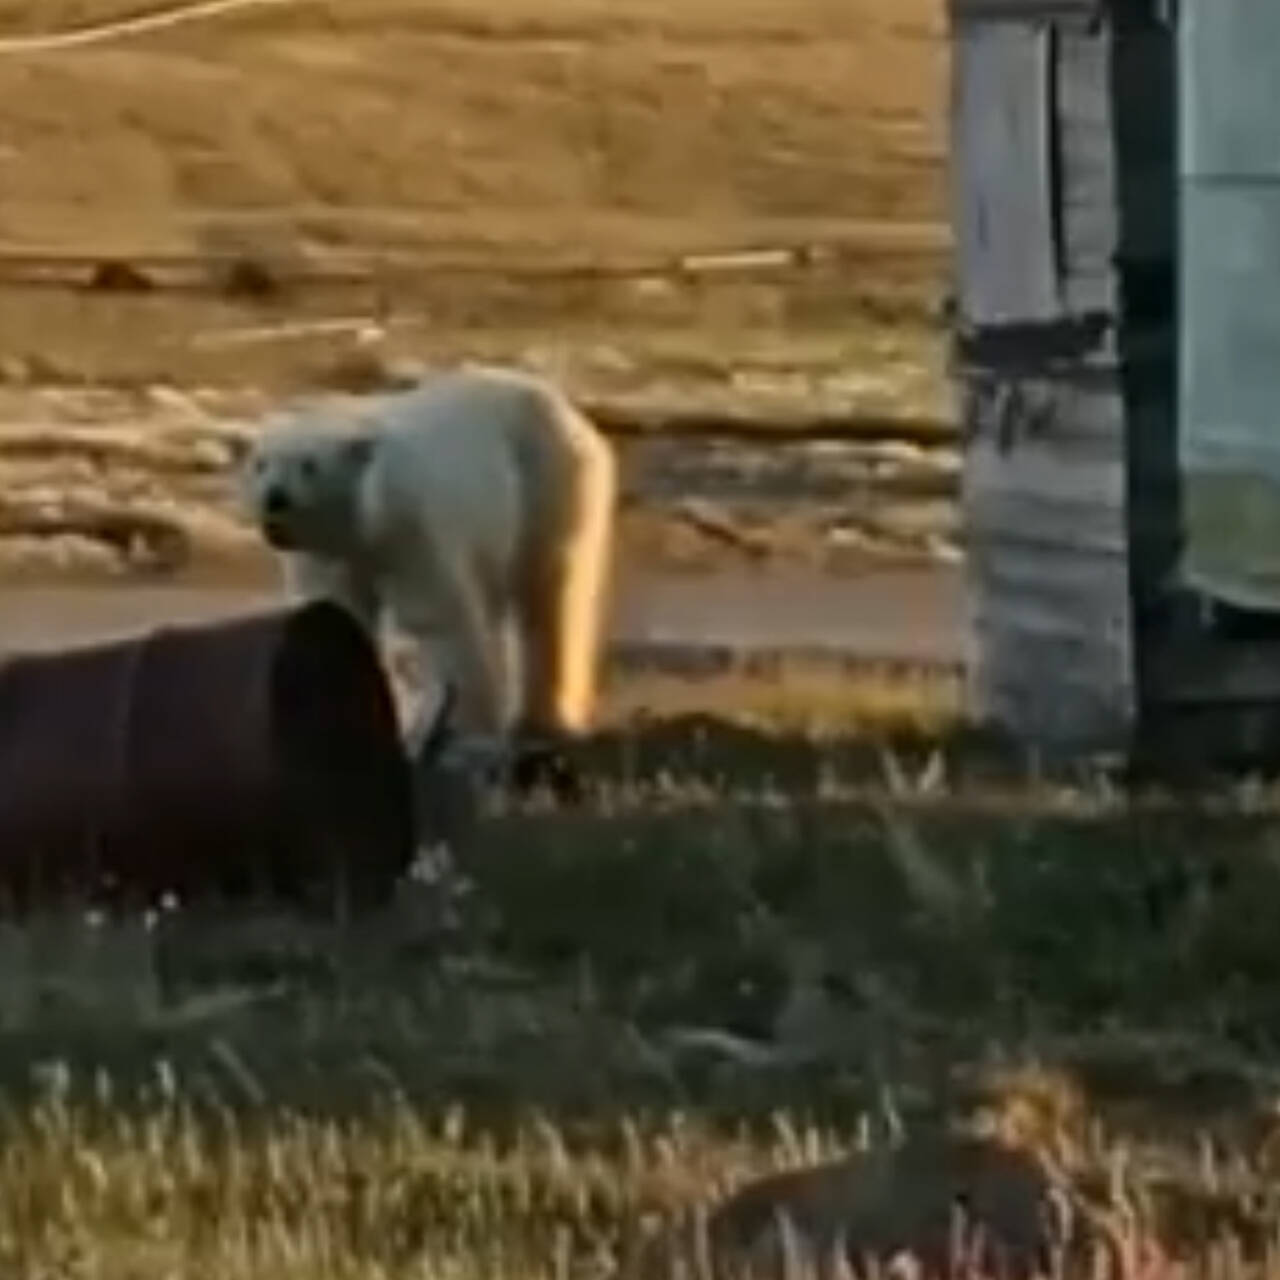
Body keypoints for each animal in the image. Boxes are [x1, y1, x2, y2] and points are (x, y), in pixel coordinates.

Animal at [244, 366, 619, 752]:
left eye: (309, 466)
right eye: (260, 464)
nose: (274, 498)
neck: (366, 526)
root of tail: (568, 410)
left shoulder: (411, 531)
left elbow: (437, 621)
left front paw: (462, 728)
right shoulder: (328, 555)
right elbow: (335, 618)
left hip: (547, 483)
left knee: (551, 596)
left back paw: (543, 720)